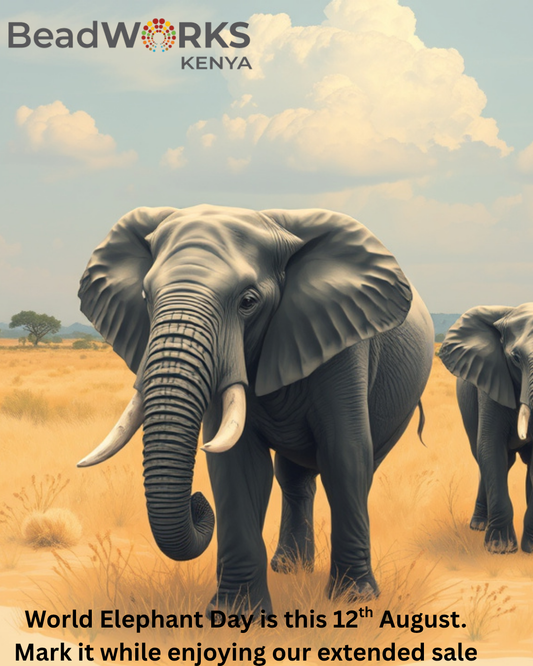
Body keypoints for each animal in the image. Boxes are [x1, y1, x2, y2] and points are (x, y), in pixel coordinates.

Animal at [76, 204, 434, 613]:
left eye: (248, 302)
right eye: (145, 297)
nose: (197, 502)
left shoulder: (345, 342)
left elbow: (344, 455)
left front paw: (354, 602)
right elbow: (238, 466)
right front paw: (237, 613)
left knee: (358, 466)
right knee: (293, 477)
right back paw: (290, 569)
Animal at [440, 304, 533, 554]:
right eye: (516, 358)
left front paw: (529, 548)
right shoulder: (491, 382)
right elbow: (490, 448)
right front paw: (500, 548)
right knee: (486, 457)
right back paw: (479, 525)